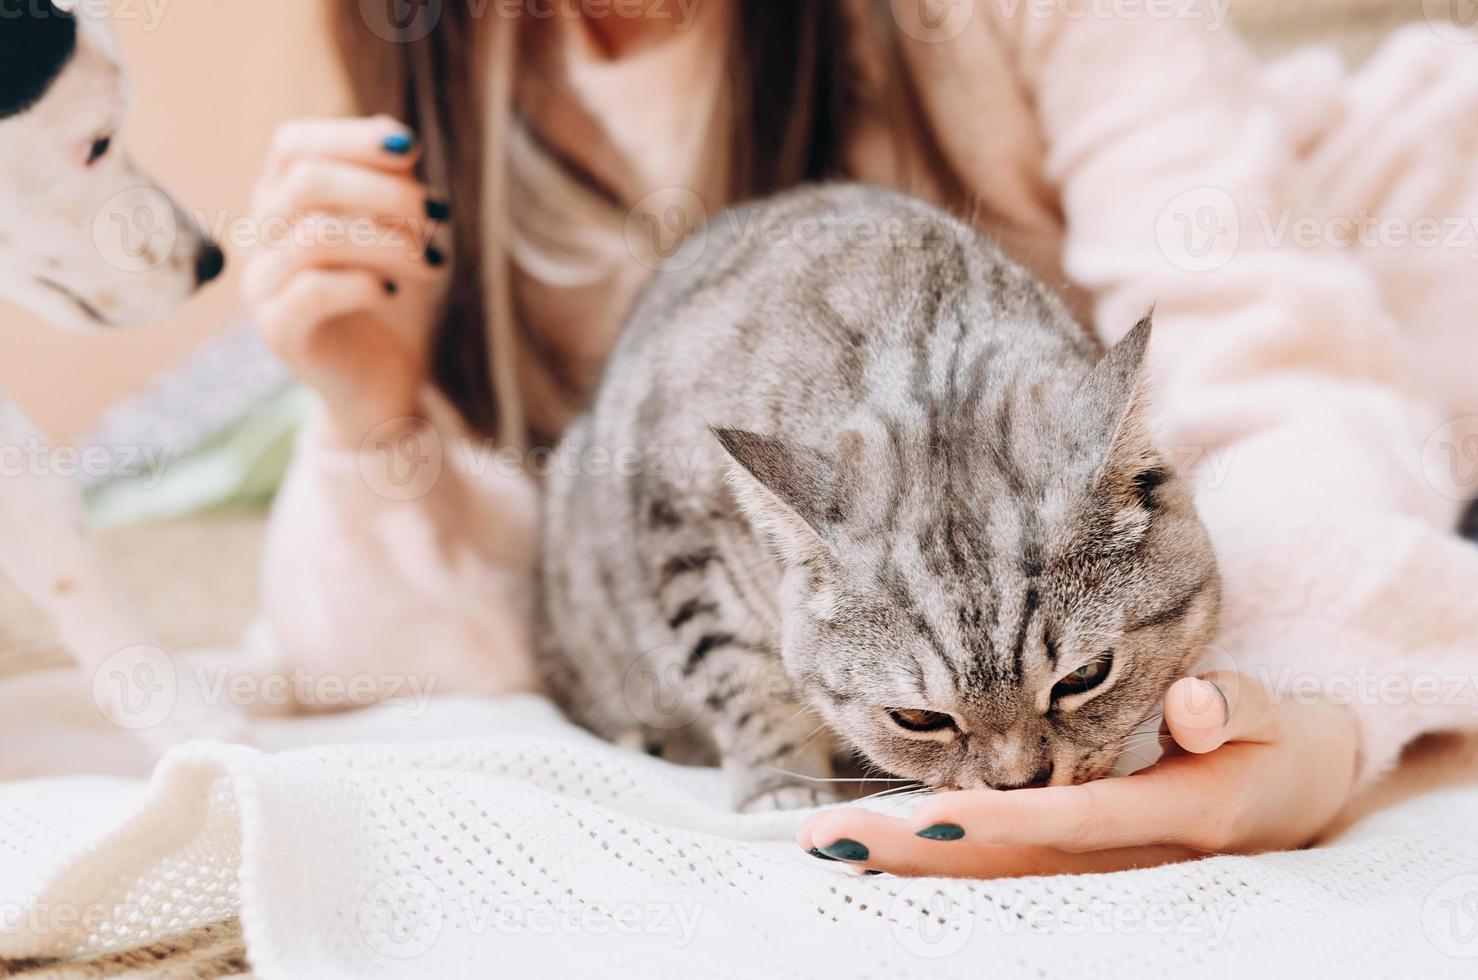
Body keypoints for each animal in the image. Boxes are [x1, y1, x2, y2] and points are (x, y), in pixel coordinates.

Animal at [537, 184, 1217, 810]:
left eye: (1084, 676)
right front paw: (783, 787)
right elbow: (746, 684)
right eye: (918, 719)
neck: (926, 358)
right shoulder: (685, 540)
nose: (1018, 785)